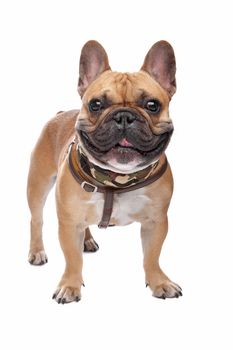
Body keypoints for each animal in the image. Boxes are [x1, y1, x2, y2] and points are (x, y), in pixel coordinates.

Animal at [26, 39, 181, 304]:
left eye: (152, 105)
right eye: (96, 104)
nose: (124, 116)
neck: (117, 179)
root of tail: (60, 114)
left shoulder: (156, 221)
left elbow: (152, 256)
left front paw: (159, 282)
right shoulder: (69, 222)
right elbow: (72, 259)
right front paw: (70, 286)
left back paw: (87, 240)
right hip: (38, 185)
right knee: (36, 219)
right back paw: (37, 251)